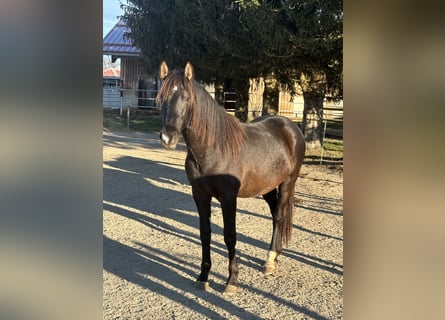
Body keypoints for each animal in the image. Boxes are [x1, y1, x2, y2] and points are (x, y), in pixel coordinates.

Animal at [154, 61, 304, 294]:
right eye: (161, 97)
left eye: (186, 98)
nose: (168, 138)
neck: (213, 148)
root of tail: (291, 127)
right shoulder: (200, 195)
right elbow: (205, 233)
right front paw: (203, 276)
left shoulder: (228, 197)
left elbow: (229, 236)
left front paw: (232, 280)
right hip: (268, 187)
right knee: (274, 215)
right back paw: (276, 255)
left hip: (288, 182)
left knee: (279, 216)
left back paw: (270, 261)